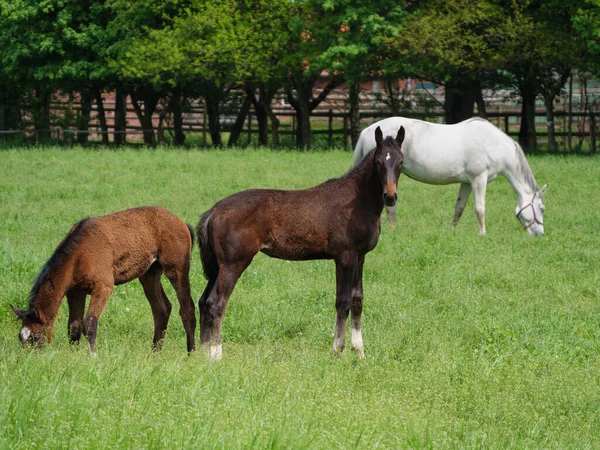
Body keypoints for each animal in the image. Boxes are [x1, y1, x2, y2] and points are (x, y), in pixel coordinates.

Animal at [9, 207, 197, 356]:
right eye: (21, 338)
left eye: (36, 337)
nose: (29, 359)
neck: (78, 255)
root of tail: (181, 222)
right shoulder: (75, 292)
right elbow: (74, 327)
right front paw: (74, 357)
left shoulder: (103, 288)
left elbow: (89, 323)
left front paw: (93, 357)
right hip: (149, 275)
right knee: (162, 309)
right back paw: (155, 353)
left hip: (176, 268)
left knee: (187, 308)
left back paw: (191, 353)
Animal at [199, 125, 406, 358]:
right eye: (378, 162)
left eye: (401, 161)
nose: (390, 197)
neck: (357, 201)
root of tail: (214, 211)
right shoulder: (345, 257)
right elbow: (342, 301)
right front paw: (338, 349)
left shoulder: (360, 257)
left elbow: (357, 299)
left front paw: (359, 351)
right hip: (232, 264)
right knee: (216, 303)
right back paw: (216, 355)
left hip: (217, 267)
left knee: (203, 302)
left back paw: (201, 352)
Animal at [354, 116, 548, 236]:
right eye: (542, 209)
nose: (539, 234)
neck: (493, 144)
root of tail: (366, 131)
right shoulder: (479, 179)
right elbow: (480, 208)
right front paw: (482, 234)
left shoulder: (468, 183)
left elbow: (459, 208)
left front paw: (452, 231)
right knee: (390, 207)